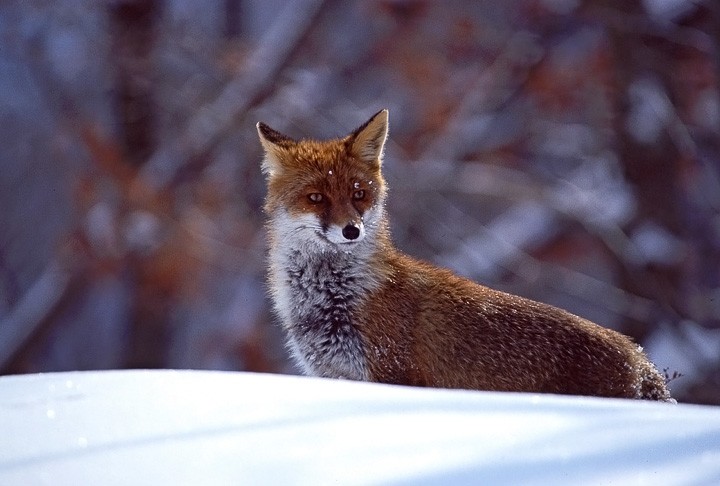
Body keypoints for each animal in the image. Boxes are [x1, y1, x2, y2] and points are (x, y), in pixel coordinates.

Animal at [257, 109, 674, 402]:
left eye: (359, 194)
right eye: (316, 198)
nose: (351, 231)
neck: (333, 297)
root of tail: (642, 361)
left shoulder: (392, 373)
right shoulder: (336, 376)